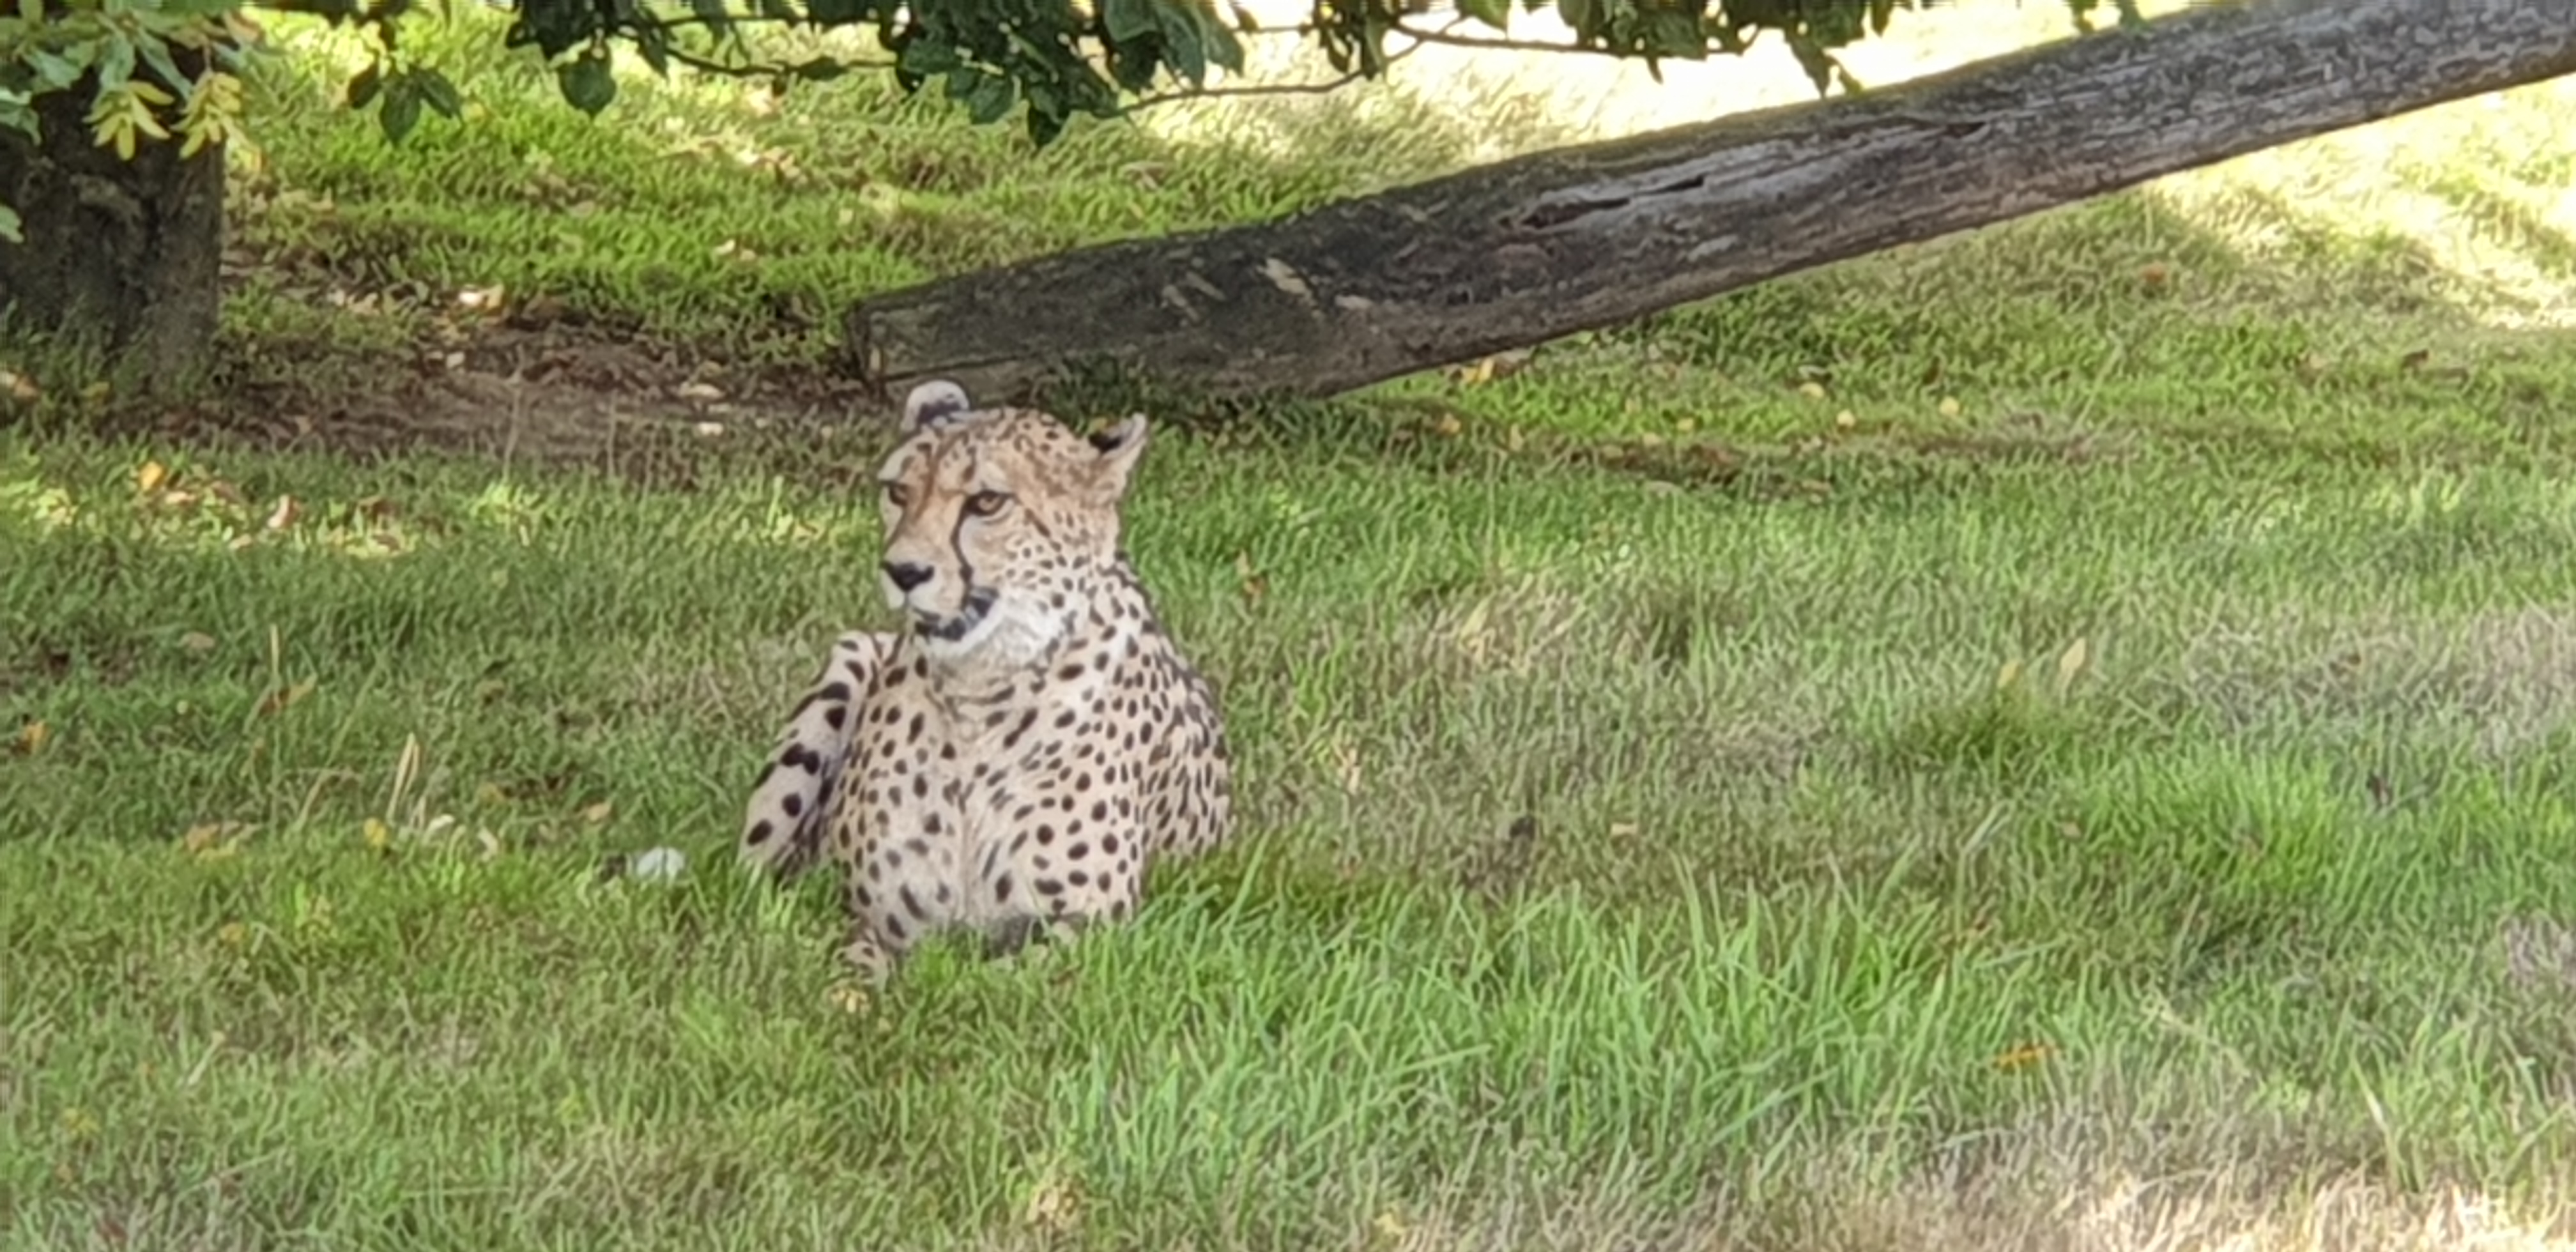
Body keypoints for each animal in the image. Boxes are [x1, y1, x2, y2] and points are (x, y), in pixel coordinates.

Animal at [735, 378, 1235, 982]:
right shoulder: (858, 909)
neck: (977, 696)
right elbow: (849, 965)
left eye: (988, 502)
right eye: (898, 492)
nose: (903, 571)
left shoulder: (1094, 928)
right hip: (848, 658)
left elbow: (990, 980)